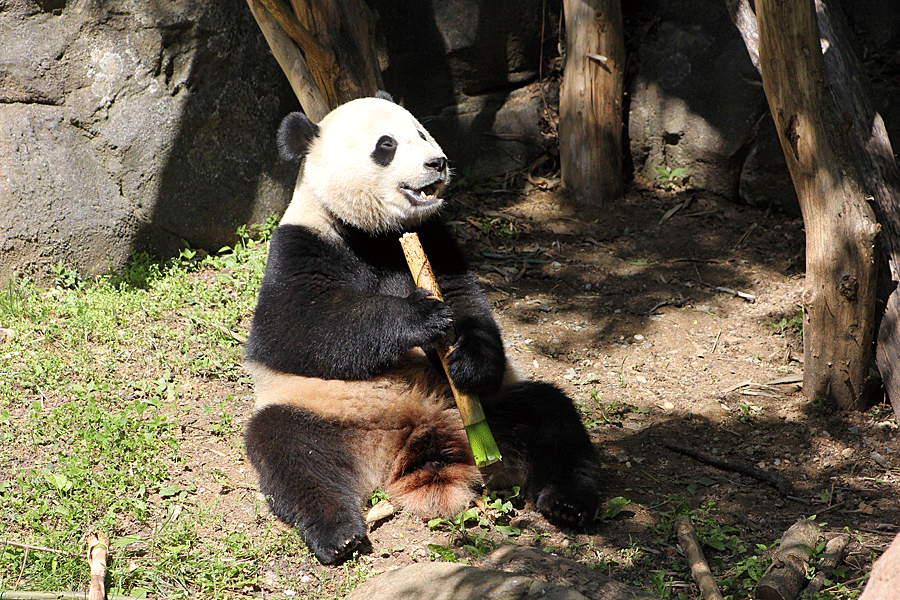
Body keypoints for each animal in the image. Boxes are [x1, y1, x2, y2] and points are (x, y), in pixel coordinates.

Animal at [243, 92, 601, 564]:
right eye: (386, 146)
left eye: (422, 133)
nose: (438, 162)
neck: (377, 233)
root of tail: (418, 441)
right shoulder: (302, 242)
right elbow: (292, 328)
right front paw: (418, 317)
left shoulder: (433, 236)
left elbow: (467, 301)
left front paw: (465, 357)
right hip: (321, 411)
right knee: (291, 453)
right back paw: (338, 533)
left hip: (496, 409)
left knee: (552, 419)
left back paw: (568, 503)